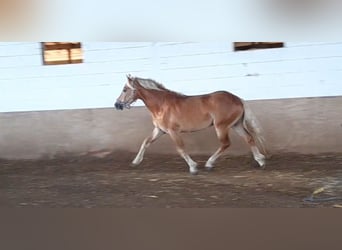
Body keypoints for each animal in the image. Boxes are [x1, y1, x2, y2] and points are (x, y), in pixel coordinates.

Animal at [113, 75, 266, 175]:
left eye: (125, 89)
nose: (117, 104)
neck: (161, 105)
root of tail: (238, 99)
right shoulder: (159, 130)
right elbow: (145, 142)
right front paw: (135, 162)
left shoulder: (173, 131)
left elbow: (180, 149)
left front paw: (193, 168)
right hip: (236, 125)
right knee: (249, 138)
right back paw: (261, 161)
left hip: (221, 127)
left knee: (226, 144)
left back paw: (209, 164)